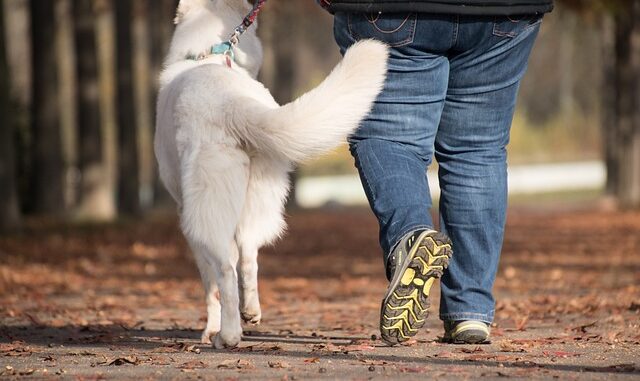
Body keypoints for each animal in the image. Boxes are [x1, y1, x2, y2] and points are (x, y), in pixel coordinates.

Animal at [156, 0, 384, 348]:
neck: (209, 54)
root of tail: (231, 102)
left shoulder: (186, 213)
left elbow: (209, 286)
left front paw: (209, 328)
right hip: (259, 196)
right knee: (249, 255)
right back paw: (250, 313)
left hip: (205, 211)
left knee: (226, 269)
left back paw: (227, 335)